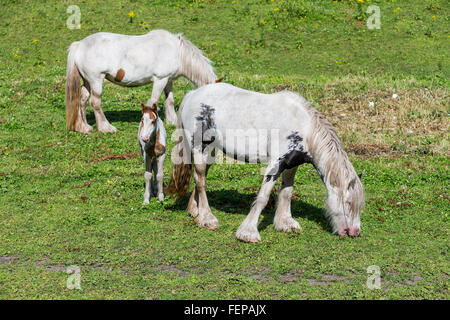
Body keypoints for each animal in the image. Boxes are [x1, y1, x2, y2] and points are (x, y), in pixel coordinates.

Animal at [66, 29, 221, 133]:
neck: (177, 51)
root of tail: (80, 45)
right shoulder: (160, 79)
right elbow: (153, 101)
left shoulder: (168, 80)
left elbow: (169, 101)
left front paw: (172, 122)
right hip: (96, 80)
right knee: (95, 103)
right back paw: (106, 127)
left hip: (87, 81)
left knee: (82, 101)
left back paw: (84, 127)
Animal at [169, 82, 366, 242]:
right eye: (348, 203)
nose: (354, 232)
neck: (303, 128)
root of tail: (192, 94)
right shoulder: (275, 164)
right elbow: (263, 197)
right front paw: (248, 232)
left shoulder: (291, 165)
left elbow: (286, 193)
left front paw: (285, 223)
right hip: (200, 149)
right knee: (201, 180)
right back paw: (207, 219)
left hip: (210, 152)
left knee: (198, 178)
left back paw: (195, 211)